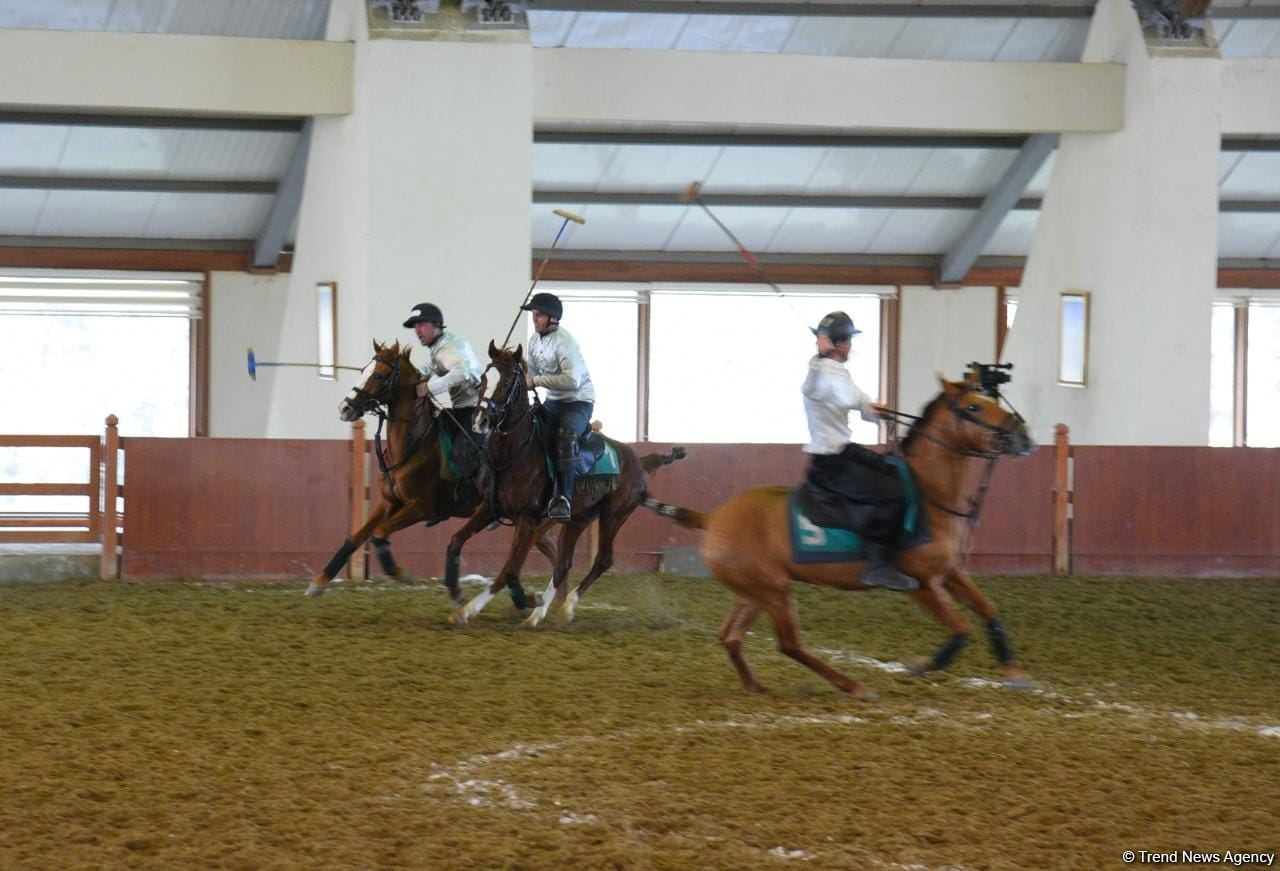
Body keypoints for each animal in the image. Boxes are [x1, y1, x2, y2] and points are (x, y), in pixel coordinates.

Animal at [307, 340, 558, 604]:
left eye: (378, 375)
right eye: (364, 370)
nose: (345, 407)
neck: (415, 444)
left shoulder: (421, 507)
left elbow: (379, 533)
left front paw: (401, 573)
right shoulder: (390, 502)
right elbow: (355, 537)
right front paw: (319, 582)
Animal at [445, 343, 686, 630]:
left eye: (505, 382)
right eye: (482, 380)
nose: (480, 420)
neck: (515, 453)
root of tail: (639, 461)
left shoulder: (527, 519)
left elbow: (510, 568)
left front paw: (472, 608)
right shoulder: (490, 508)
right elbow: (456, 541)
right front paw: (455, 592)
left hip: (614, 514)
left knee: (602, 559)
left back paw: (567, 606)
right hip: (579, 518)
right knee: (563, 563)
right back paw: (538, 615)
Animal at [645, 374, 1034, 701]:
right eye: (973, 407)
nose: (1024, 436)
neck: (928, 496)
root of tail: (713, 519)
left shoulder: (951, 573)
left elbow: (988, 611)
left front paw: (1014, 673)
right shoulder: (921, 584)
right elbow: (961, 629)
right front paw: (922, 665)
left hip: (753, 592)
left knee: (730, 635)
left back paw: (755, 685)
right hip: (774, 592)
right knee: (790, 645)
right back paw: (853, 686)